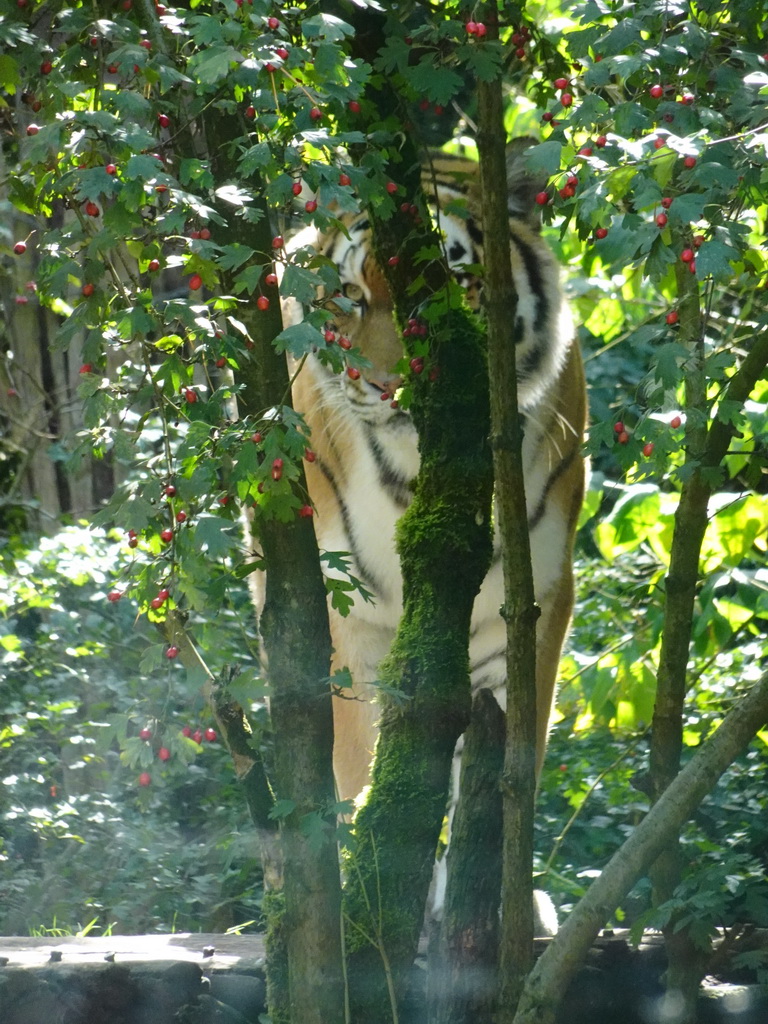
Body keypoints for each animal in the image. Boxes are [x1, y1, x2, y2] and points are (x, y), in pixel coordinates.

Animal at [262, 134, 585, 921]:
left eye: (452, 280)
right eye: (352, 294)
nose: (391, 385)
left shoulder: (529, 606)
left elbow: (505, 769)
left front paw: (497, 902)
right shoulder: (349, 616)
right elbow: (358, 761)